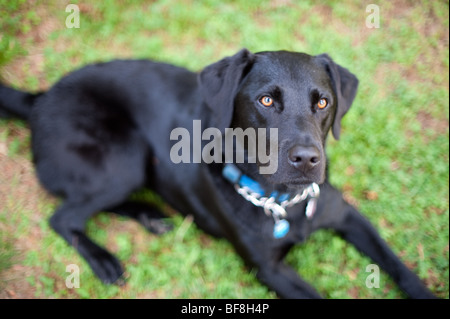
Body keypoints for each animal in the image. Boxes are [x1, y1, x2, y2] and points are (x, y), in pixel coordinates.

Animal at [0, 48, 436, 298]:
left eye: (324, 102)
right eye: (266, 100)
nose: (309, 159)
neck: (283, 202)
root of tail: (39, 98)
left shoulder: (348, 216)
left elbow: (400, 267)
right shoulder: (270, 270)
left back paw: (151, 216)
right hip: (126, 157)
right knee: (64, 216)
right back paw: (105, 260)